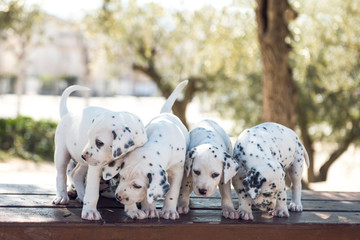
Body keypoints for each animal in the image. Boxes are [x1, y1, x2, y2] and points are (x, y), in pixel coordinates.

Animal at [51, 85, 146, 220]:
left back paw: (82, 195)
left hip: (84, 164)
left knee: (76, 174)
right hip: (62, 153)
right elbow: (92, 191)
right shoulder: (95, 168)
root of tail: (67, 114)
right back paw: (62, 196)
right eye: (88, 137)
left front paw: (133, 210)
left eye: (99, 142)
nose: (83, 155)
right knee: (61, 175)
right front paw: (90, 211)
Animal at [102, 80, 190, 219]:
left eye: (137, 186)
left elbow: (172, 192)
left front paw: (169, 211)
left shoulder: (177, 171)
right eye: (121, 176)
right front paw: (146, 208)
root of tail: (165, 113)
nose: (118, 197)